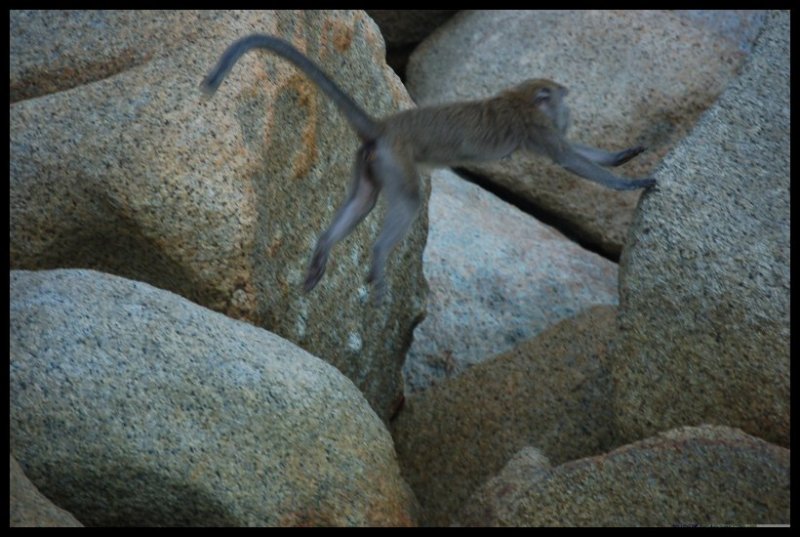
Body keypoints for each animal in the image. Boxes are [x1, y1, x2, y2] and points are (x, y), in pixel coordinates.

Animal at [201, 34, 655, 301]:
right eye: (563, 102)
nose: (568, 114)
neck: (523, 98)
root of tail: (385, 126)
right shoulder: (537, 130)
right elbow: (567, 158)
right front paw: (629, 181)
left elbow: (575, 154)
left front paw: (623, 156)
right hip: (396, 159)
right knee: (408, 200)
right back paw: (377, 261)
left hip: (369, 161)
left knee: (363, 202)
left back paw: (323, 248)